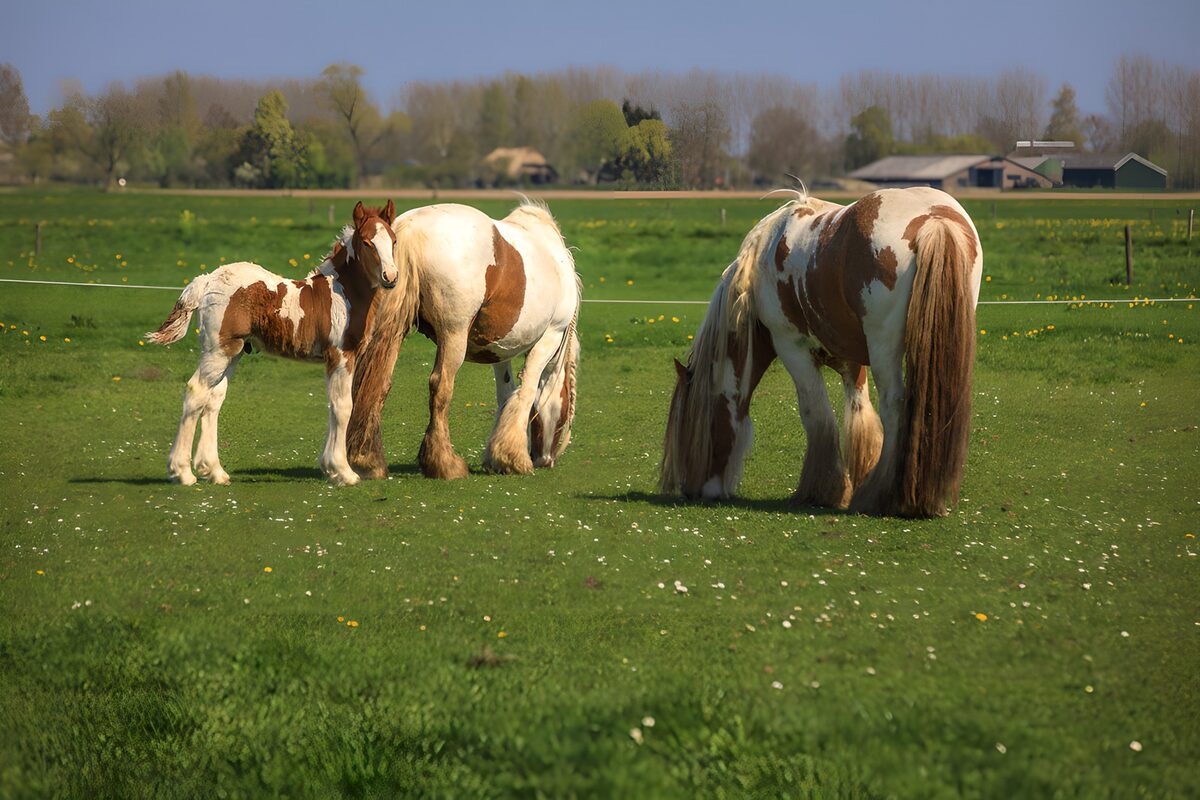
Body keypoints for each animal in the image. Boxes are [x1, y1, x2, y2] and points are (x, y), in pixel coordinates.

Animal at [146, 201, 416, 487]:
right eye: (366, 242)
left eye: (393, 241)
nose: (391, 277)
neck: (343, 293)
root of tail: (208, 279)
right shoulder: (341, 355)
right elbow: (344, 407)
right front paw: (344, 472)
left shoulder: (333, 360)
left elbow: (332, 405)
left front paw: (329, 467)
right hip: (217, 351)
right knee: (195, 392)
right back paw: (182, 472)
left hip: (233, 352)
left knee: (213, 399)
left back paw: (215, 471)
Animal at [345, 200, 581, 481]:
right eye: (565, 410)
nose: (546, 459)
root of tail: (411, 228)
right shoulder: (550, 336)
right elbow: (527, 391)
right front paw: (513, 457)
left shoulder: (501, 351)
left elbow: (506, 395)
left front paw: (497, 456)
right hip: (453, 336)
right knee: (440, 386)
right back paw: (445, 464)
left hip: (391, 331)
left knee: (376, 382)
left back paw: (367, 459)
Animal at [660, 187, 983, 518]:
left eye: (694, 433)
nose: (692, 491)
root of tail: (933, 219)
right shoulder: (852, 360)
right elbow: (859, 414)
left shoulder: (791, 346)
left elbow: (816, 415)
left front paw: (821, 491)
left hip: (884, 346)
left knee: (894, 405)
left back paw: (880, 495)